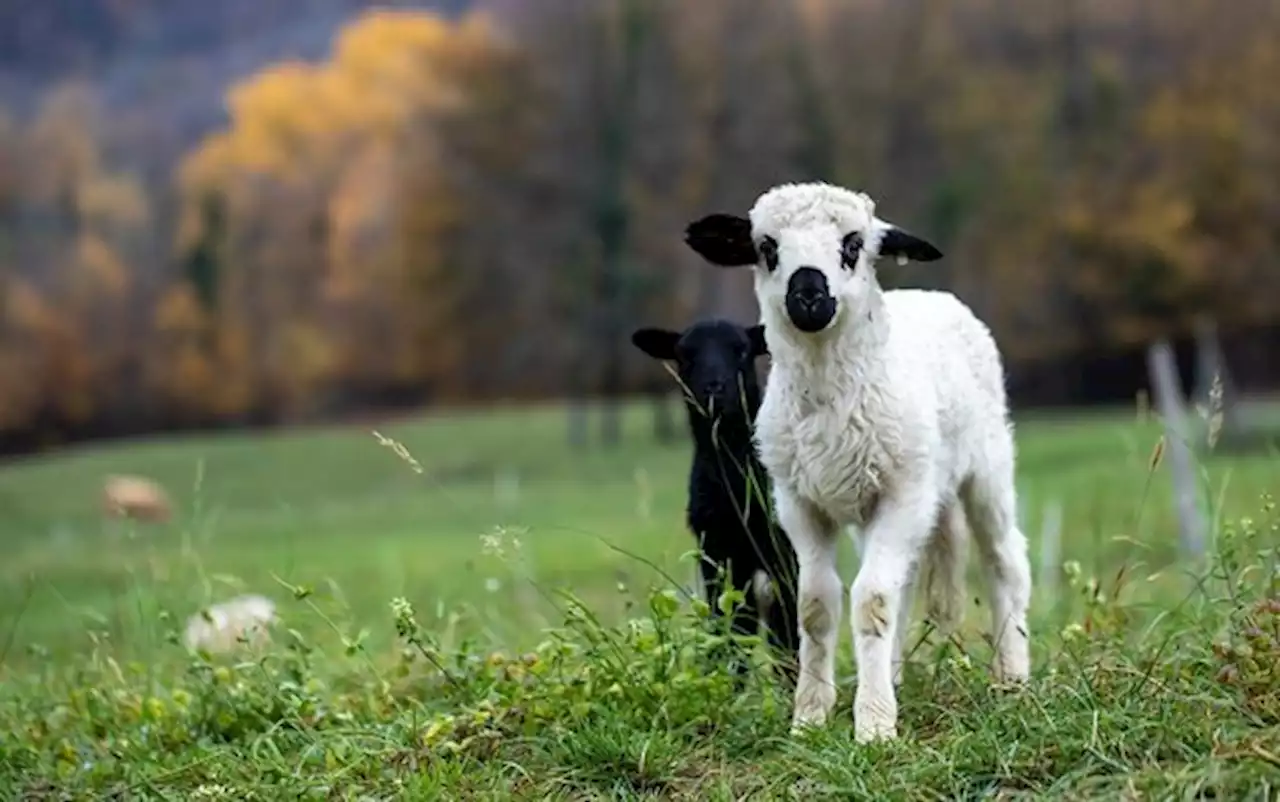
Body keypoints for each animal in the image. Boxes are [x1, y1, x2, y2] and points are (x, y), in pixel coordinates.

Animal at [632, 317, 798, 680]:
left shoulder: (784, 552)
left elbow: (787, 627)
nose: (714, 388)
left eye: (742, 351)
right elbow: (727, 625)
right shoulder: (716, 551)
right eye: (684, 355)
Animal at [680, 180, 1029, 741]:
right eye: (766, 247)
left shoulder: (902, 493)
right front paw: (810, 717)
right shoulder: (798, 505)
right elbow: (816, 604)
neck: (829, 397)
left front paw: (874, 726)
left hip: (986, 466)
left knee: (1004, 561)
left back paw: (1013, 675)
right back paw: (894, 676)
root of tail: (932, 296)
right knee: (904, 583)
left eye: (853, 244)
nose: (808, 295)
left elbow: (871, 601)